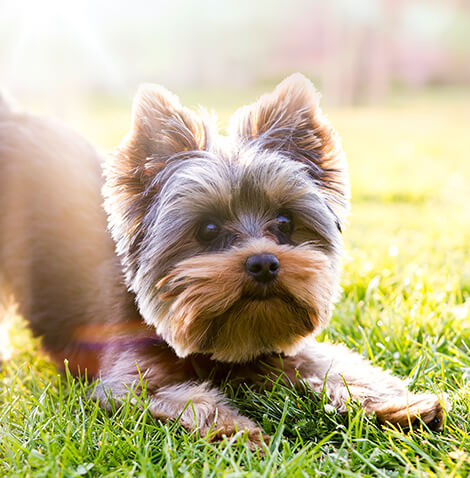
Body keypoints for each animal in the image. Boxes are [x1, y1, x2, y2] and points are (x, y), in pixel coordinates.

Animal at [0, 74, 446, 444]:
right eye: (208, 230)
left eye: (285, 222)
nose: (264, 262)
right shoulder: (125, 385)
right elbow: (188, 401)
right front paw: (241, 432)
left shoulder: (282, 348)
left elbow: (336, 367)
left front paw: (400, 406)